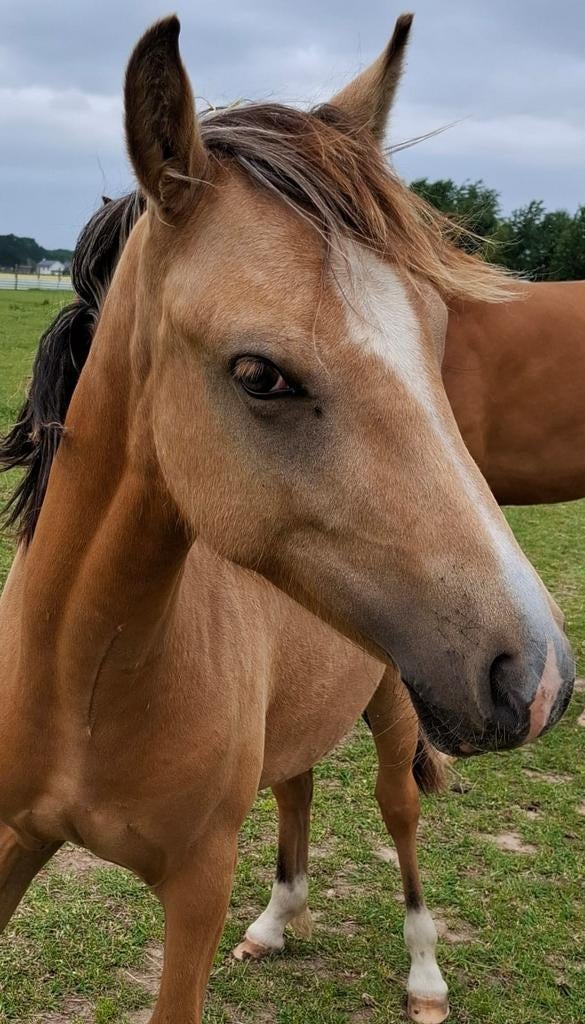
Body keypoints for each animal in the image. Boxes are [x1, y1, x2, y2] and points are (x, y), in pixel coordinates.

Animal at [0, 16, 574, 1024]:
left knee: (400, 822)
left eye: (436, 339)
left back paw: (425, 977)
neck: (80, 676)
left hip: (394, 721)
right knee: (298, 786)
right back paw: (274, 925)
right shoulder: (4, 846)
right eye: (259, 374)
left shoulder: (195, 886)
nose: (538, 679)